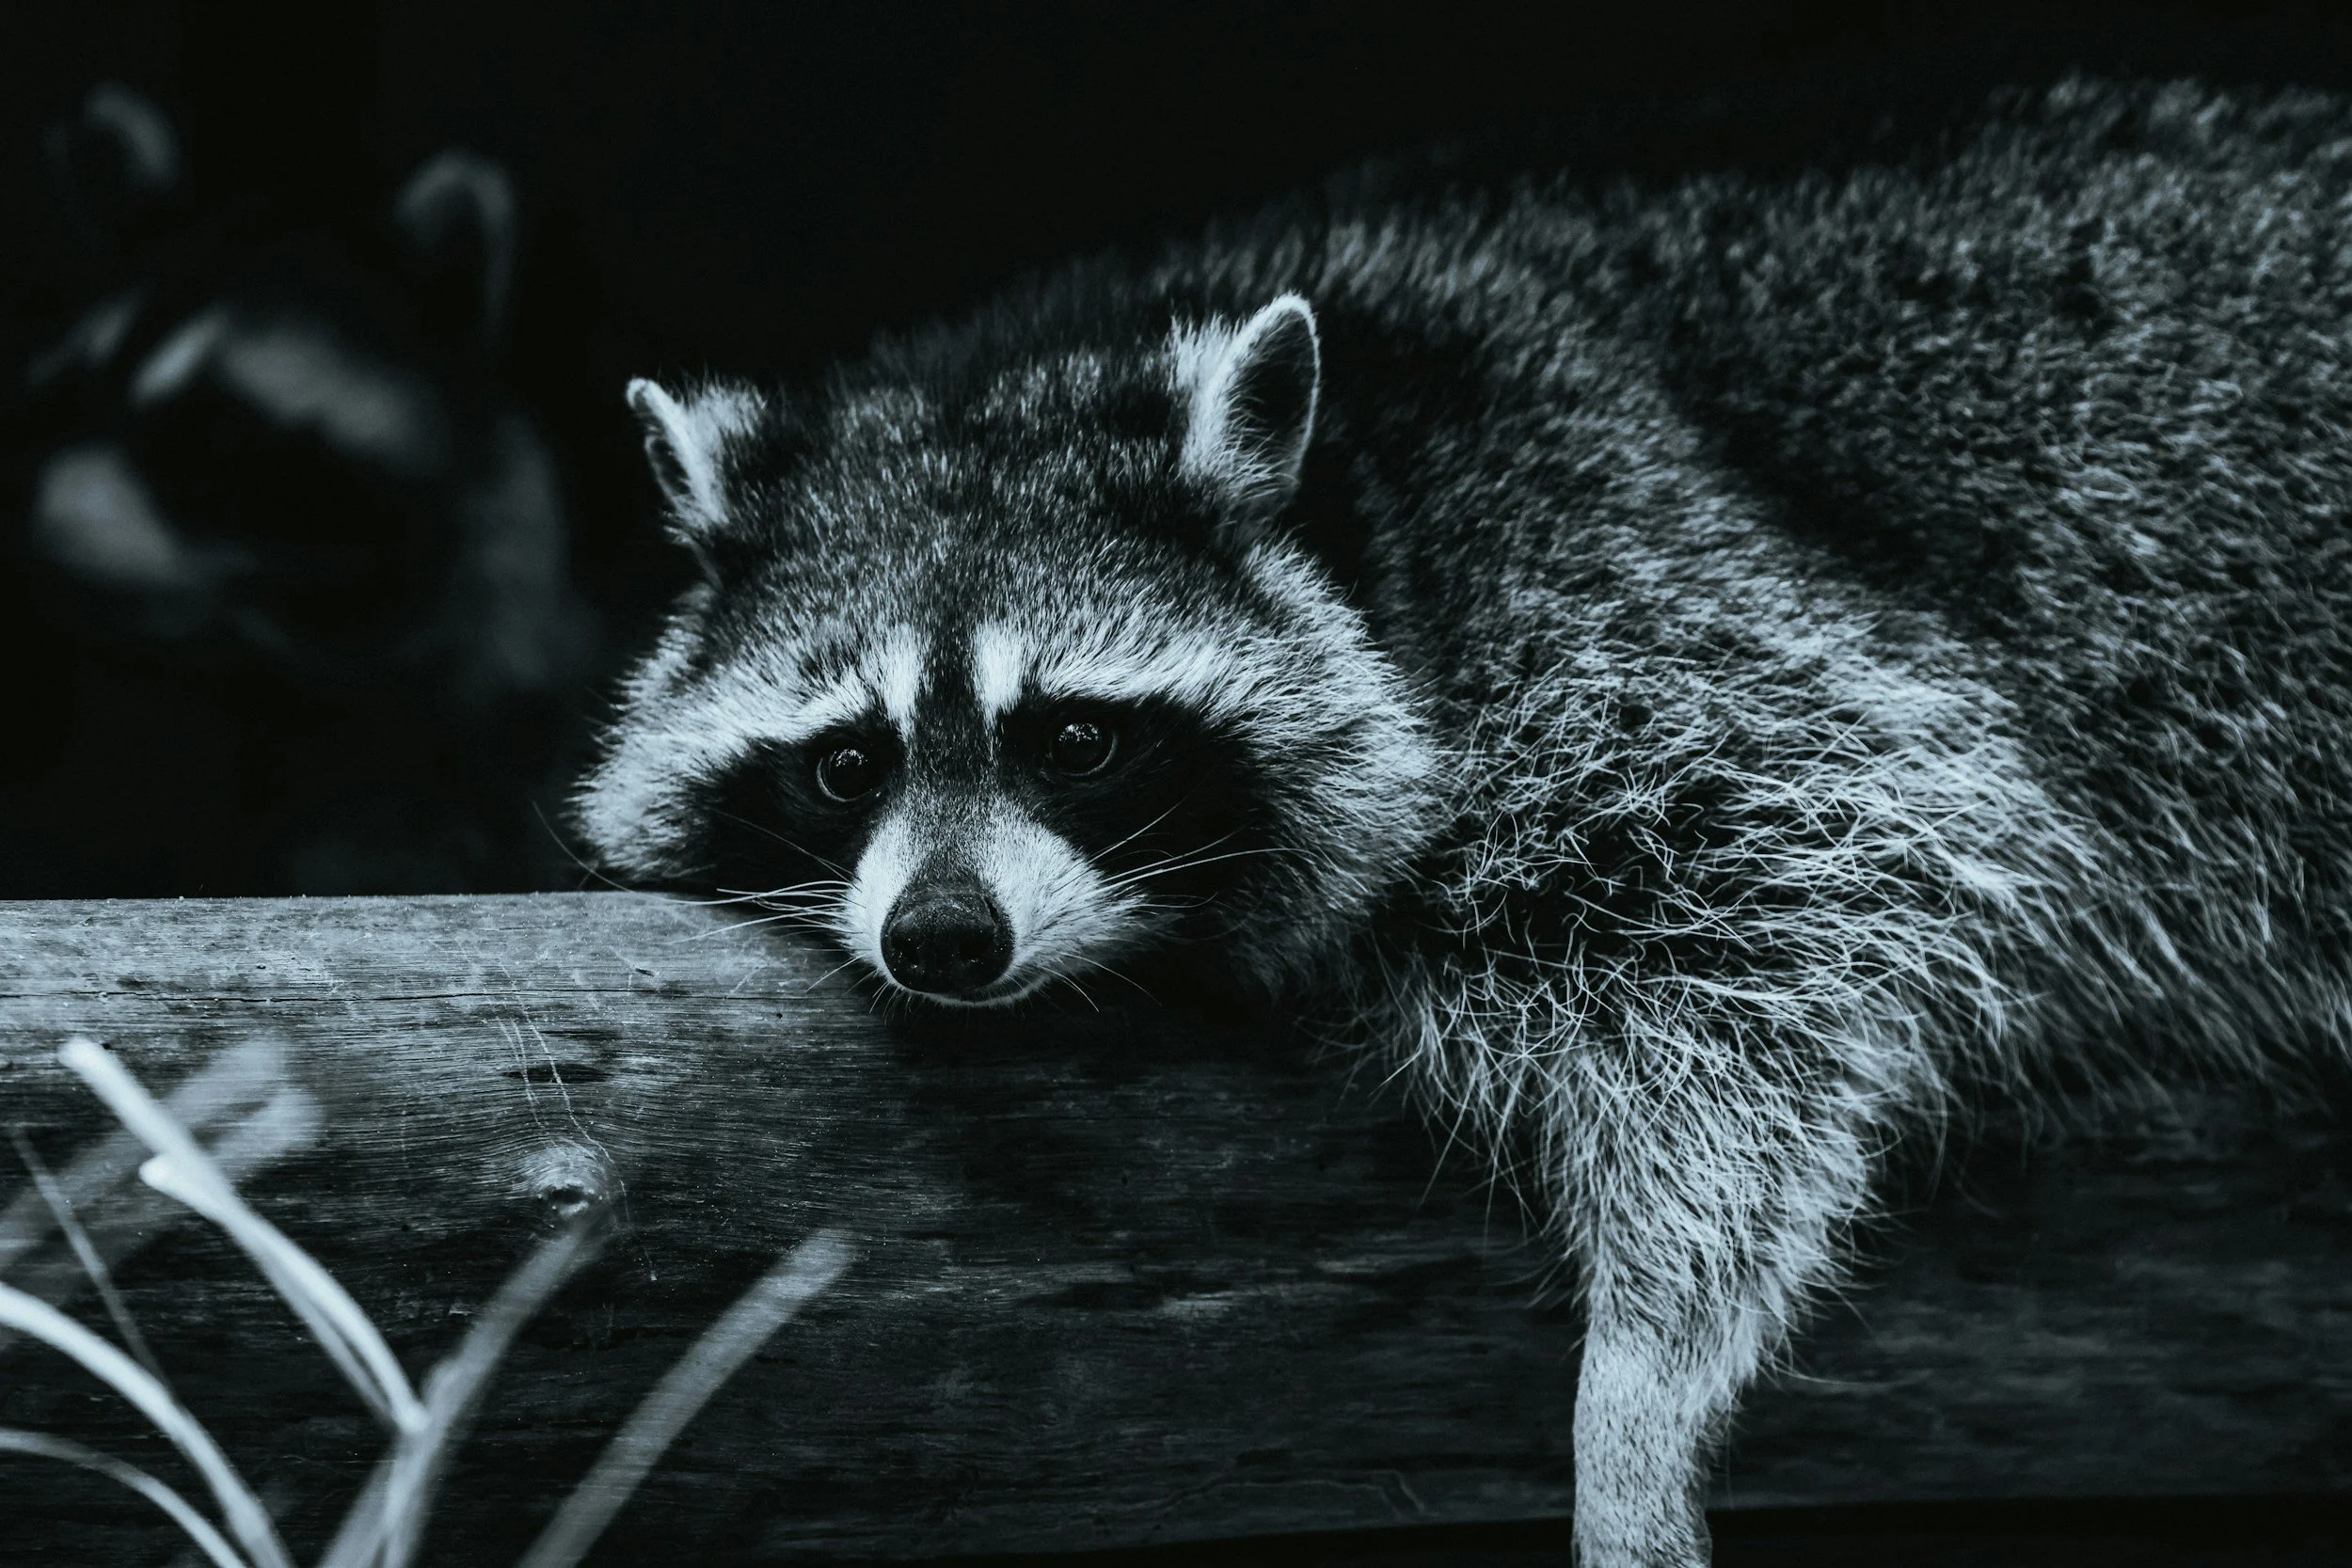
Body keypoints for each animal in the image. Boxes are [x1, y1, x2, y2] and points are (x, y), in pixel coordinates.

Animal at [577, 79, 2352, 1567]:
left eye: (1075, 738)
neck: (1361, 517)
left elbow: (1791, 926)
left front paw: (1642, 1385)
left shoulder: (1646, 610)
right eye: (844, 765)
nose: (943, 935)